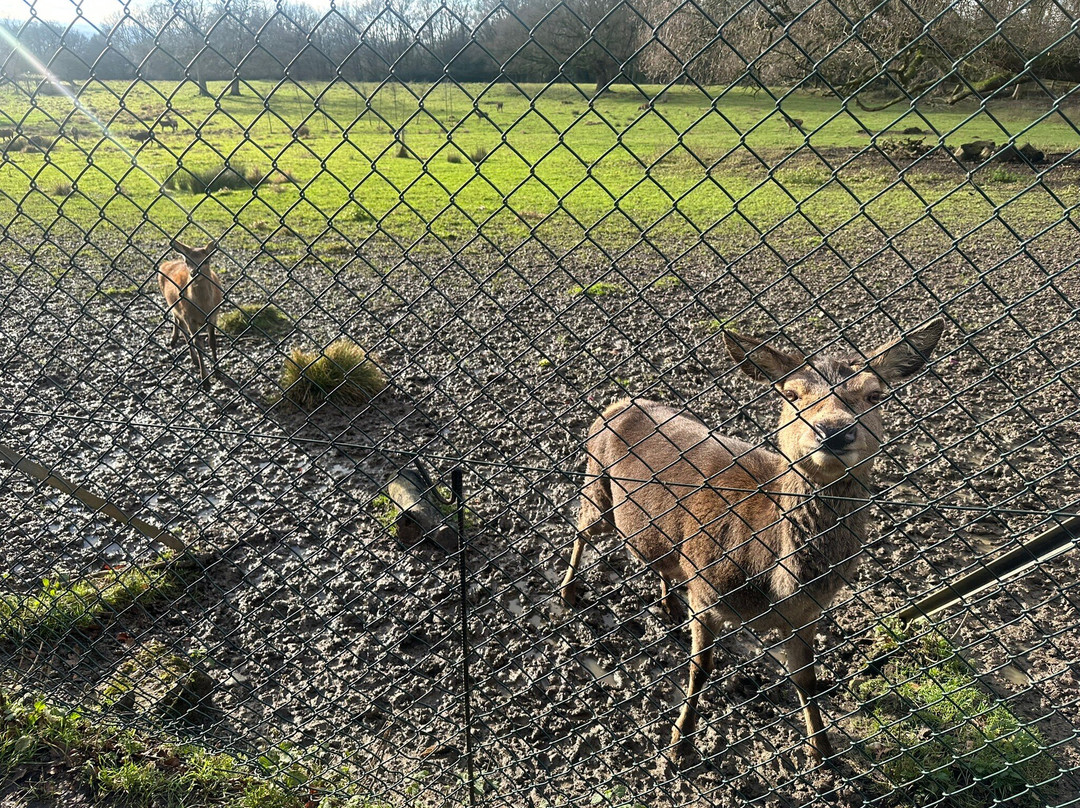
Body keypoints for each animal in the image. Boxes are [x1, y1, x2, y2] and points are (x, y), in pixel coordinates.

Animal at [157, 238, 223, 388]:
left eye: (207, 260)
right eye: (187, 261)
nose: (194, 273)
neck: (203, 308)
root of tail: (165, 263)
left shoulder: (213, 315)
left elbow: (212, 342)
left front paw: (217, 372)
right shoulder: (189, 318)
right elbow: (198, 344)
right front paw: (205, 380)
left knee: (177, 320)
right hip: (172, 304)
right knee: (182, 328)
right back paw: (188, 354)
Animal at [561, 319, 941, 760]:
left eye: (874, 394)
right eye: (791, 394)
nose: (833, 432)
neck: (774, 580)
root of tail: (615, 404)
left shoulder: (808, 613)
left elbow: (806, 678)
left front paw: (821, 750)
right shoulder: (706, 590)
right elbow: (700, 669)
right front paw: (679, 744)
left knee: (658, 556)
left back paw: (668, 604)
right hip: (597, 488)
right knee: (580, 529)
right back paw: (569, 592)